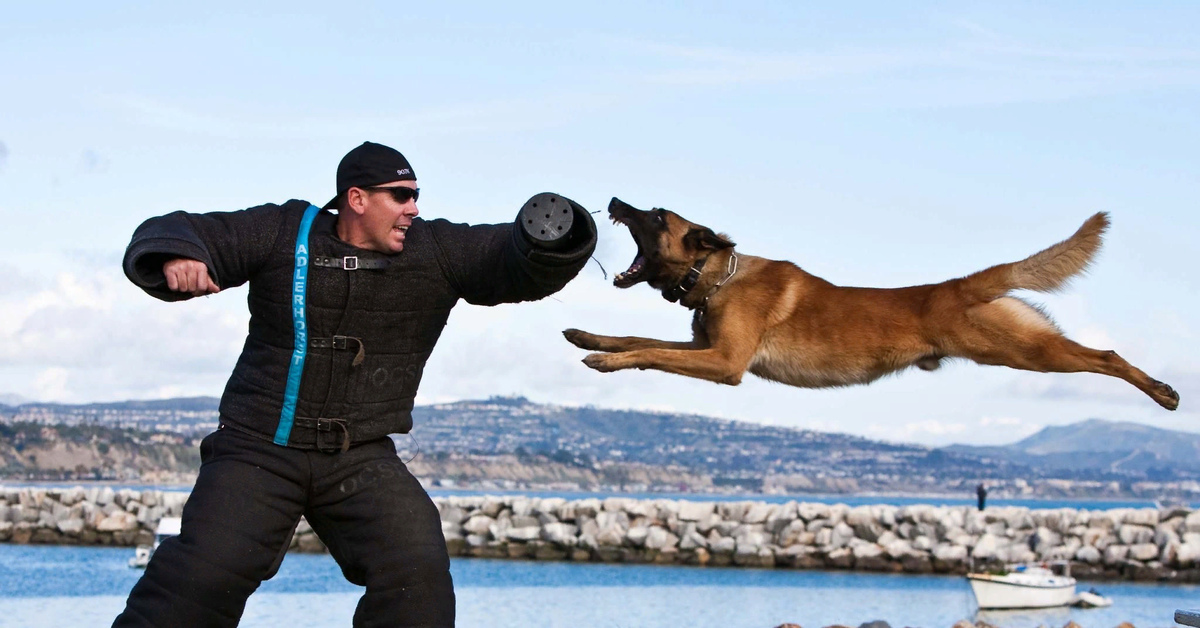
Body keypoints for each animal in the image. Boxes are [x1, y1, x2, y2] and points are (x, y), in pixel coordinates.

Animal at [564, 199, 1180, 410]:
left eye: (656, 216)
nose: (614, 199)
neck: (720, 277)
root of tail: (964, 284)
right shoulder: (706, 348)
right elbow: (638, 339)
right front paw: (590, 339)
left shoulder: (725, 363)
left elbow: (649, 352)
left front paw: (605, 361)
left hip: (1026, 352)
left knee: (1106, 356)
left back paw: (1162, 391)